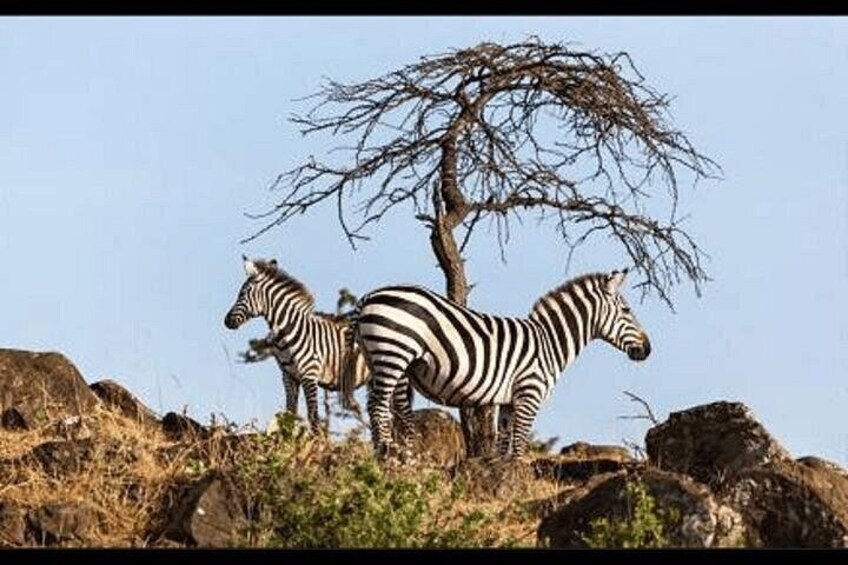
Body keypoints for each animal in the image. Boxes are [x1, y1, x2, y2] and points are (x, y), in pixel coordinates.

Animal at [223, 256, 374, 433]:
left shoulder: (310, 374)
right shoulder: (288, 376)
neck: (287, 332)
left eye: (242, 294)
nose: (226, 321)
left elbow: (313, 417)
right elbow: (290, 414)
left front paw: (317, 440)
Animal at [350, 268, 651, 458]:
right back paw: (389, 454)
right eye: (627, 310)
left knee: (377, 407)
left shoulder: (508, 400)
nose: (648, 349)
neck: (550, 342)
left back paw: (382, 454)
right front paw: (517, 482)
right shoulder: (530, 393)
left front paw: (501, 479)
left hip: (378, 359)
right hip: (393, 352)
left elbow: (504, 445)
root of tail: (368, 297)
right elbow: (519, 445)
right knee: (378, 406)